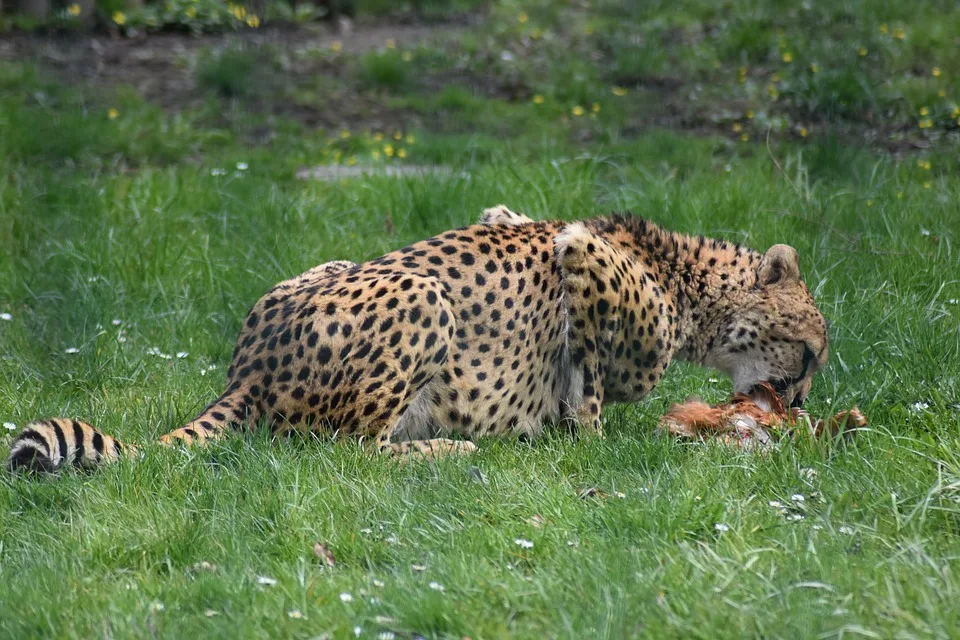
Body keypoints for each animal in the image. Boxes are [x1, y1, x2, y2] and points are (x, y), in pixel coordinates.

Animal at [3, 205, 828, 470]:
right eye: (811, 352)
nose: (796, 400)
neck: (685, 274)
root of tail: (247, 370)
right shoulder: (579, 255)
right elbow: (597, 378)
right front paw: (588, 442)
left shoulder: (508, 215)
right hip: (424, 296)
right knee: (344, 453)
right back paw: (449, 448)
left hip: (335, 267)